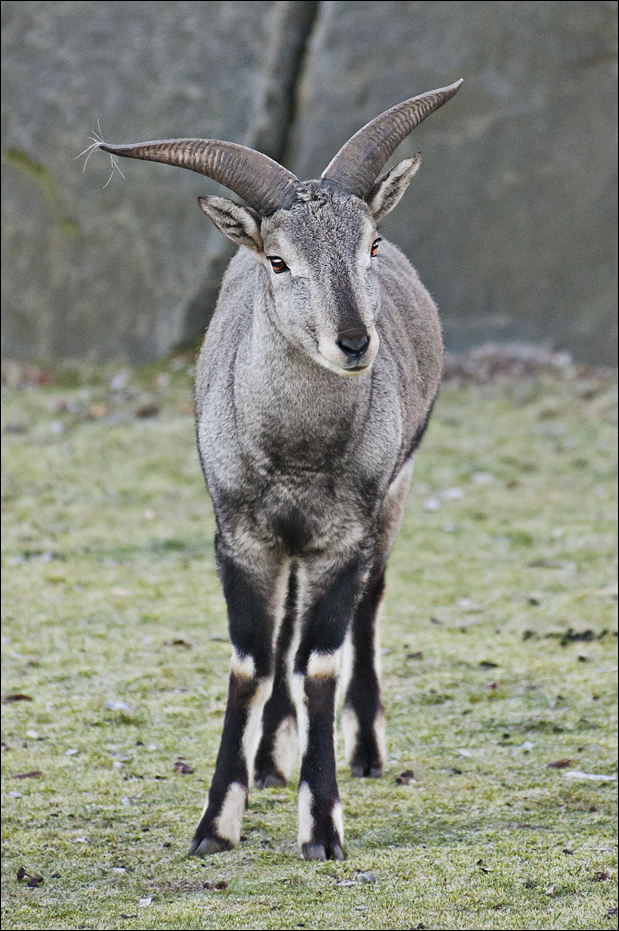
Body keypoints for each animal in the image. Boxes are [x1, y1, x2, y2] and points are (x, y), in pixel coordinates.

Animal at [95, 79, 462, 861]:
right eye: (278, 260)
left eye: (368, 244)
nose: (353, 341)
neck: (296, 452)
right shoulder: (243, 536)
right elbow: (252, 663)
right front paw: (214, 824)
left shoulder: (342, 536)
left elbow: (320, 659)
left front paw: (322, 825)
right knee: (285, 634)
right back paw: (269, 758)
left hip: (394, 497)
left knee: (365, 609)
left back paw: (365, 750)